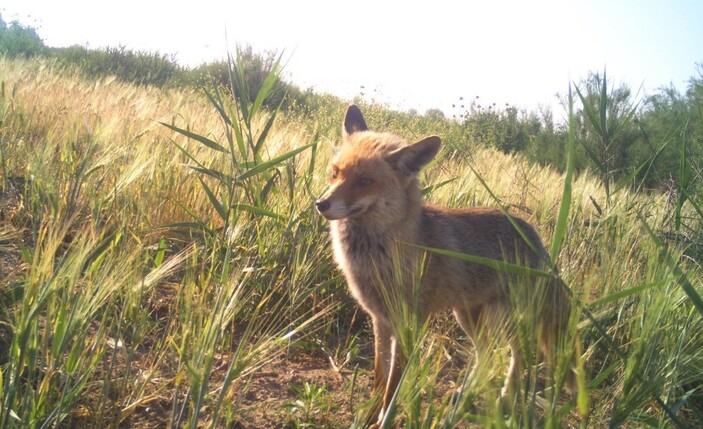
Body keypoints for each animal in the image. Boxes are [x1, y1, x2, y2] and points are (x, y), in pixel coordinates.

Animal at [316, 103, 576, 424]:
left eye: (365, 181)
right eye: (335, 173)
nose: (321, 204)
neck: (380, 258)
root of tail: (534, 237)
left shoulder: (410, 324)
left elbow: (393, 388)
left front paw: (383, 420)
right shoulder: (380, 320)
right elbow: (379, 377)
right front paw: (367, 417)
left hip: (506, 319)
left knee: (519, 354)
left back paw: (504, 396)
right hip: (467, 316)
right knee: (487, 353)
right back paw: (468, 394)